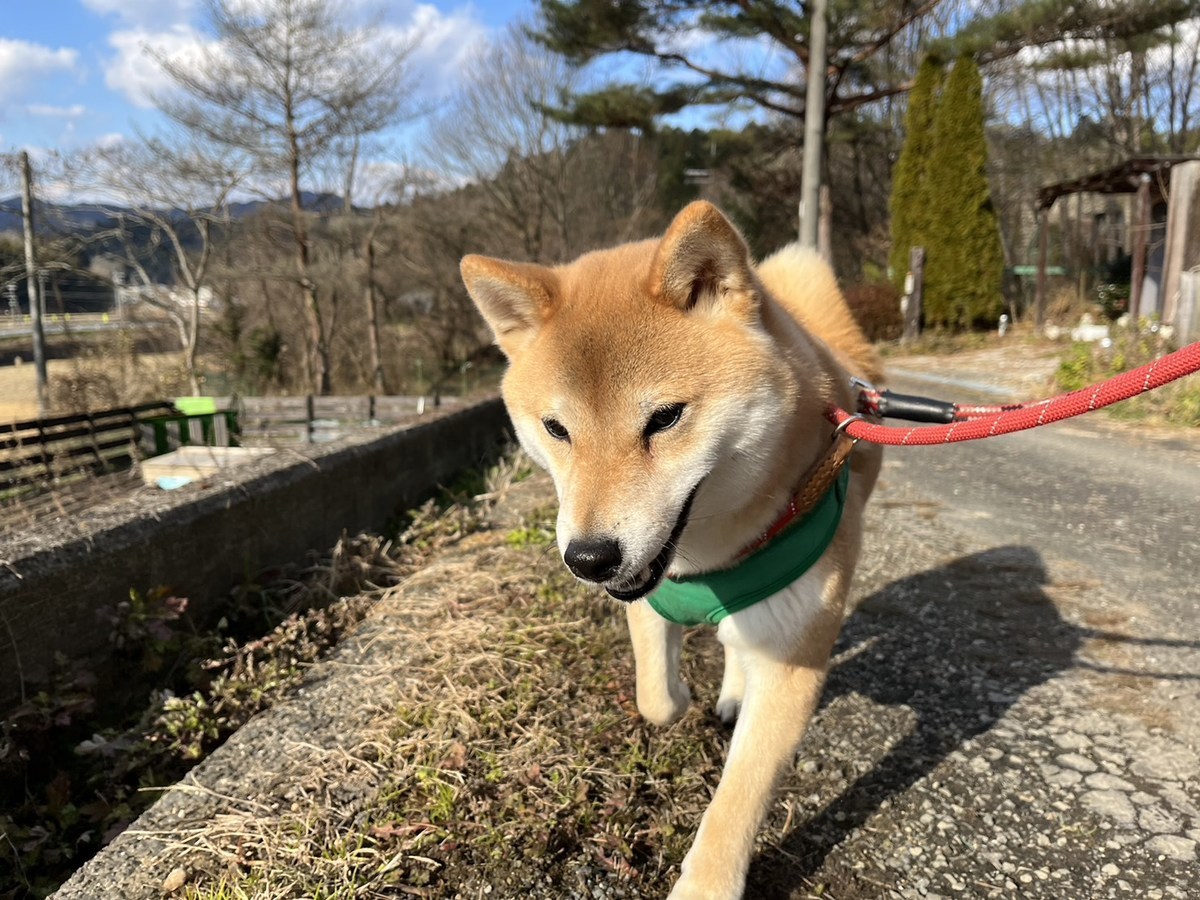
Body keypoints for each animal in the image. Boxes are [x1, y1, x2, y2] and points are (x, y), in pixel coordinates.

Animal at [458, 204, 883, 900]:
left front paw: (706, 884)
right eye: (556, 429)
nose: (589, 558)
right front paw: (680, 699)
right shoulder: (645, 593)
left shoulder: (793, 661)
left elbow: (739, 795)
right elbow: (655, 698)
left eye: (664, 418)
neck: (709, 557)